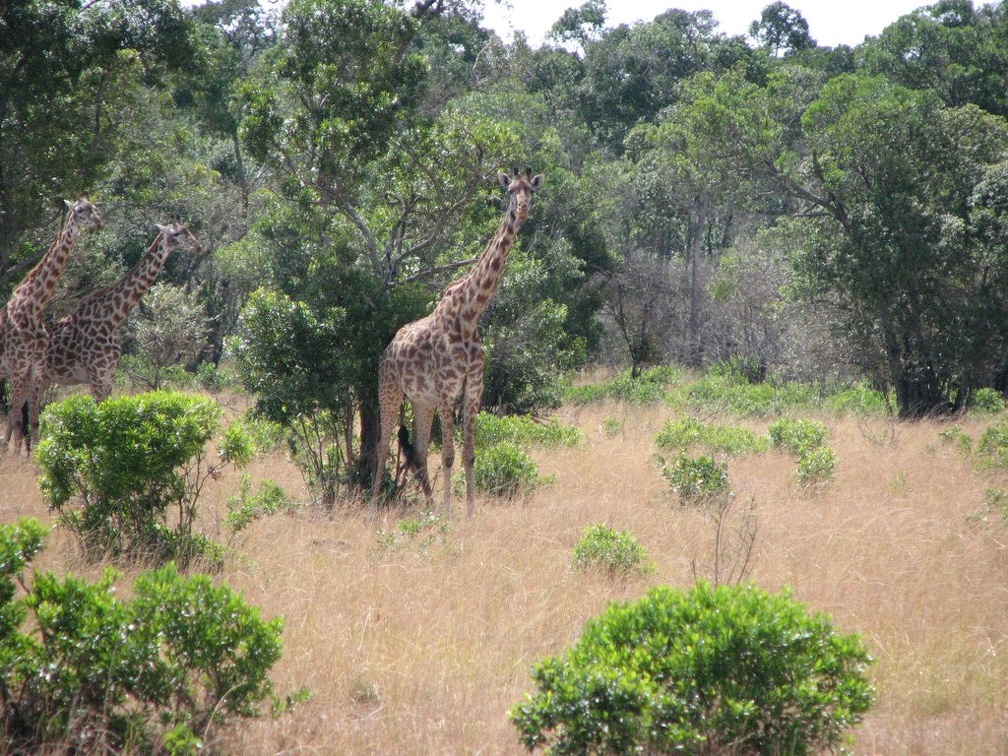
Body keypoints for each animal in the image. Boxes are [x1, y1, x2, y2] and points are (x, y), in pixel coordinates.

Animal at [1, 198, 103, 453]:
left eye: (95, 208)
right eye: (79, 210)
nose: (99, 223)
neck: (32, 307)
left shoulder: (35, 367)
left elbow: (31, 415)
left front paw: (32, 455)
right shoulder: (19, 366)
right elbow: (16, 414)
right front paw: (11, 454)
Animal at [34, 215, 202, 417]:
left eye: (188, 231)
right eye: (176, 233)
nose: (198, 246)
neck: (112, 319)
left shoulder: (109, 375)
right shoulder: (96, 376)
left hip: (43, 378)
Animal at [370, 168, 544, 520]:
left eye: (531, 191)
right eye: (510, 191)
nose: (522, 211)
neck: (469, 316)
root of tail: (387, 349)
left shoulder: (472, 390)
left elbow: (469, 454)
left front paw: (469, 511)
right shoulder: (448, 391)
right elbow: (449, 454)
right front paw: (453, 512)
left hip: (422, 401)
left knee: (419, 450)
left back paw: (430, 506)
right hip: (390, 390)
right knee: (383, 444)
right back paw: (374, 503)